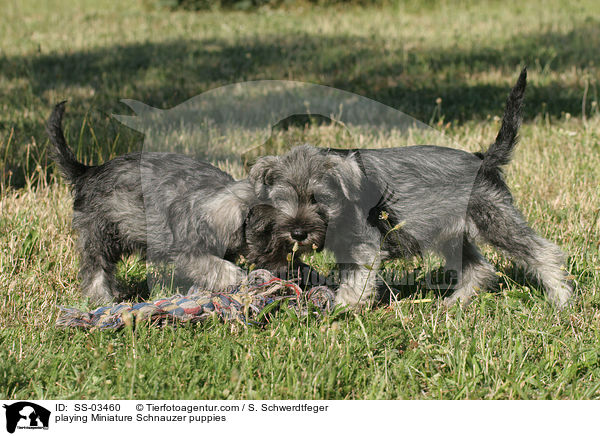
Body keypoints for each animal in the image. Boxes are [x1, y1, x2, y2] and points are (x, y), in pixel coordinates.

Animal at [45, 103, 252, 304]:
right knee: (96, 270)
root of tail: (87, 172)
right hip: (98, 235)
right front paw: (239, 278)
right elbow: (216, 266)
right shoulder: (188, 251)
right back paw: (103, 299)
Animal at [247, 67, 572, 306]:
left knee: (544, 253)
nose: (297, 234)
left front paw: (340, 308)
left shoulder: (364, 247)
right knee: (477, 268)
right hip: (453, 234)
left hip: (496, 221)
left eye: (320, 198)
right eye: (283, 200)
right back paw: (453, 303)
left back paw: (561, 298)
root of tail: (484, 159)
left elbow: (354, 282)